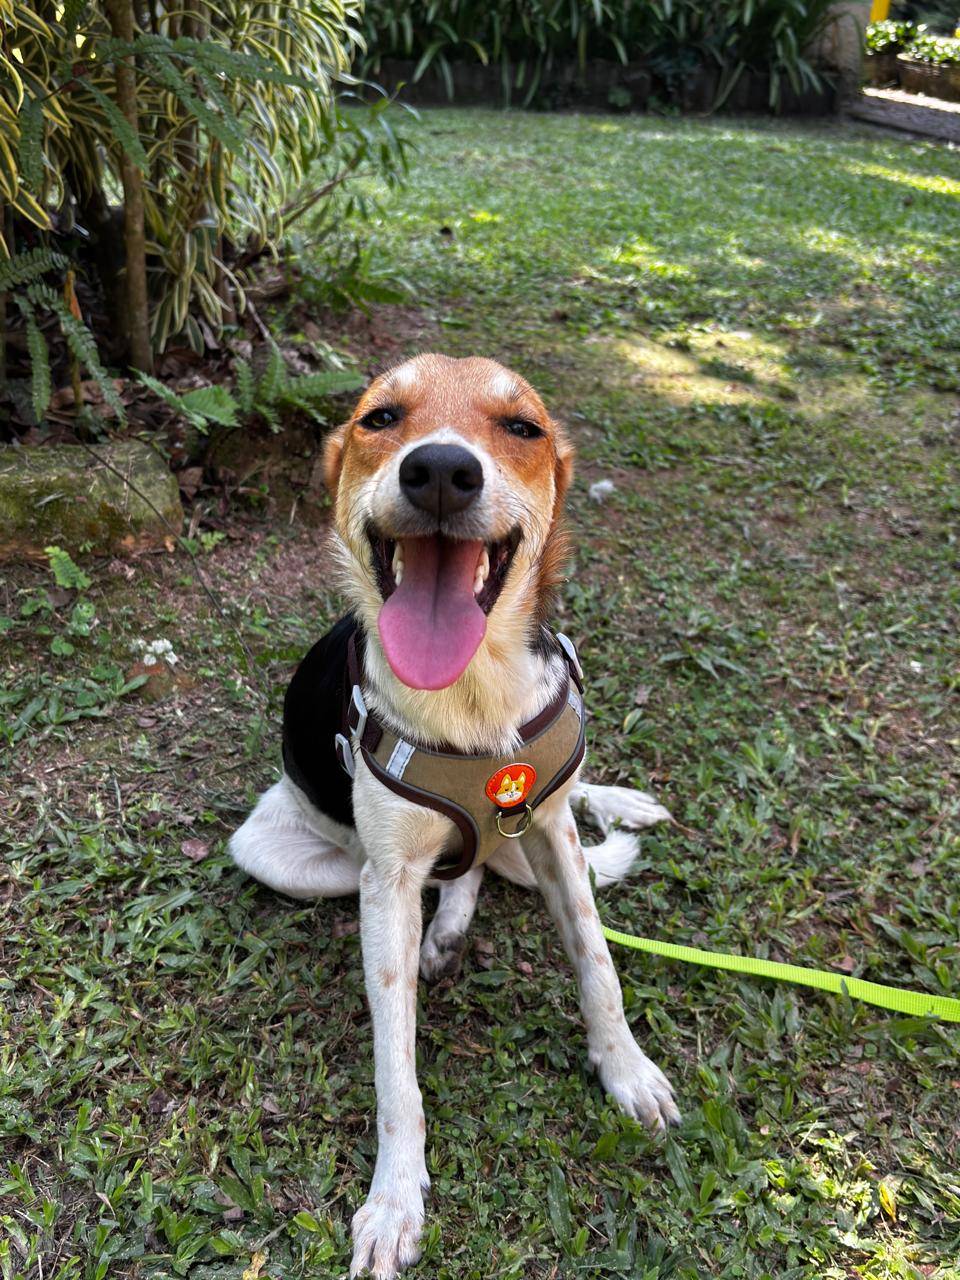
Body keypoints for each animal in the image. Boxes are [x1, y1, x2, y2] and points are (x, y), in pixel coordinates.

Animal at [230, 353, 679, 1279]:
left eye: (522, 428)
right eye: (380, 417)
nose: (440, 470)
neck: (471, 696)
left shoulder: (550, 834)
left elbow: (600, 970)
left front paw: (626, 1071)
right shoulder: (389, 879)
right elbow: (395, 1070)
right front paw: (395, 1200)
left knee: (537, 820)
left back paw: (620, 801)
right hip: (290, 855)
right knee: (458, 868)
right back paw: (446, 928)